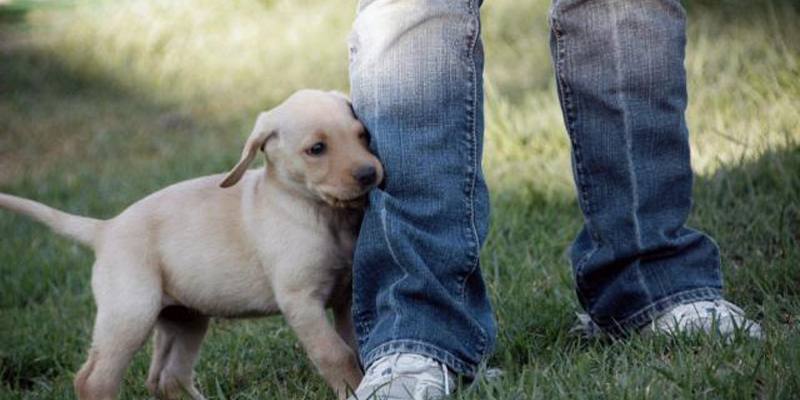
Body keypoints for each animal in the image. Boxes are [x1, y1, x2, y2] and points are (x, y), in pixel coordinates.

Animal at [0, 90, 382, 400]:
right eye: (316, 149)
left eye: (362, 135)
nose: (369, 174)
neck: (318, 212)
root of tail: (105, 228)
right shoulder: (301, 301)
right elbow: (336, 353)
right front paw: (354, 391)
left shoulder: (346, 296)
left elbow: (355, 345)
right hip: (131, 313)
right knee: (94, 380)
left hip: (184, 318)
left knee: (167, 378)